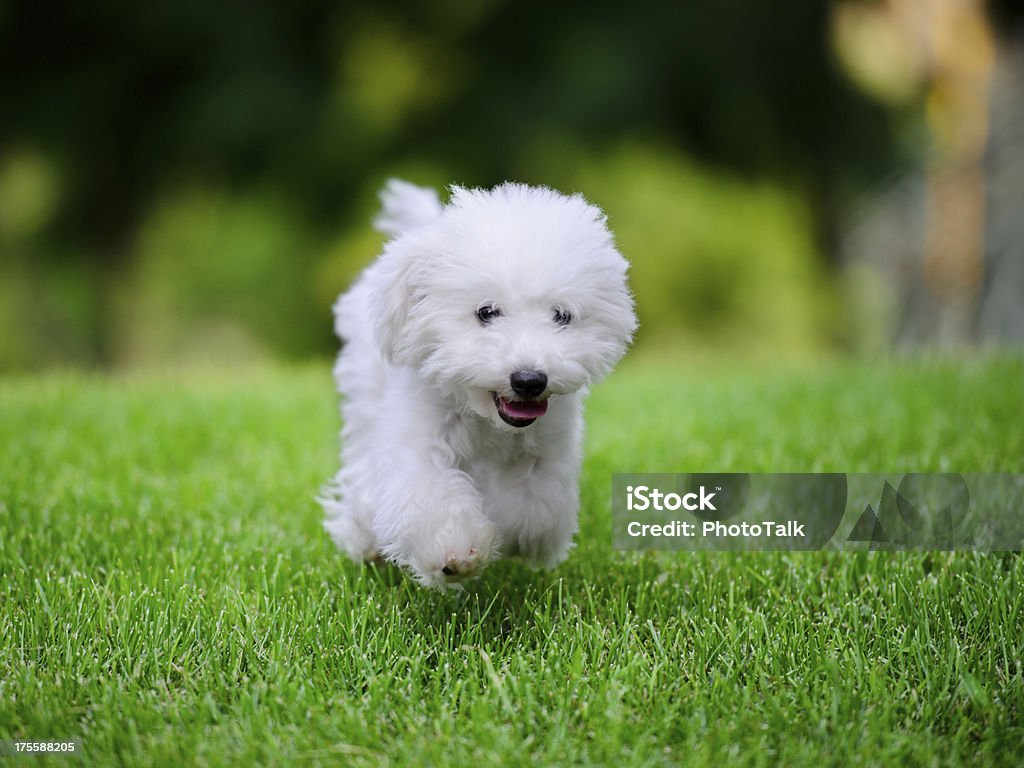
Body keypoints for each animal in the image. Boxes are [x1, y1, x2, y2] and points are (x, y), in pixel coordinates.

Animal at [323, 180, 634, 589]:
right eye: (486, 312)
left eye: (561, 315)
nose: (530, 380)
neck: (487, 419)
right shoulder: (420, 439)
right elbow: (429, 495)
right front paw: (454, 553)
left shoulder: (546, 451)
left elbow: (532, 510)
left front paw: (507, 533)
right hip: (366, 395)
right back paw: (365, 534)